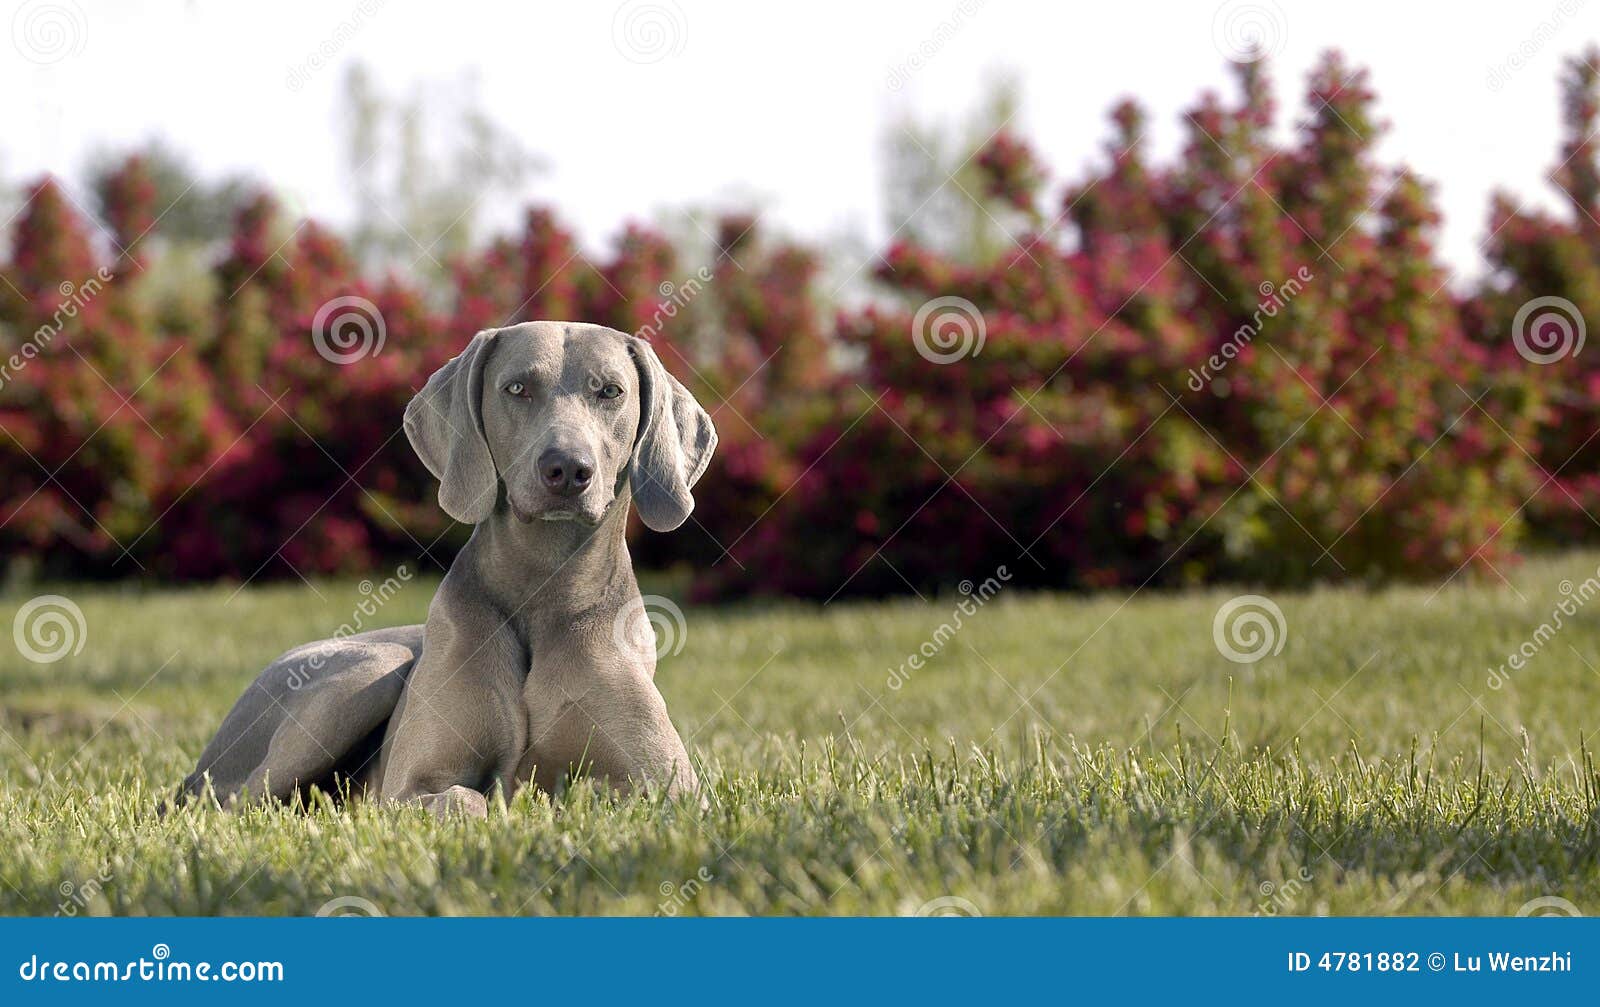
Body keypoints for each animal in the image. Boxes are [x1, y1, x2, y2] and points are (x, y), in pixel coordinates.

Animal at [176, 321, 720, 816]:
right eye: (516, 388)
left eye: (610, 391)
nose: (568, 468)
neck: (543, 584)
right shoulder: (408, 788)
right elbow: (467, 800)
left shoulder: (673, 791)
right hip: (364, 674)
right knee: (233, 803)